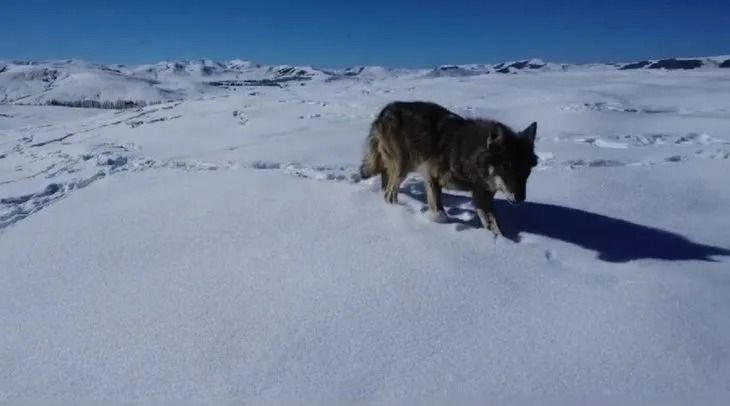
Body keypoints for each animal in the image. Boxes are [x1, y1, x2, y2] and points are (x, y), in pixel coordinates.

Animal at [356, 99, 536, 236]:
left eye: (527, 171)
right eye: (506, 167)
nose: (520, 199)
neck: (468, 155)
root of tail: (386, 109)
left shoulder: (482, 196)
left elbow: (495, 227)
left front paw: (503, 243)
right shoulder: (432, 178)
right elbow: (439, 211)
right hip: (403, 168)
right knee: (389, 194)